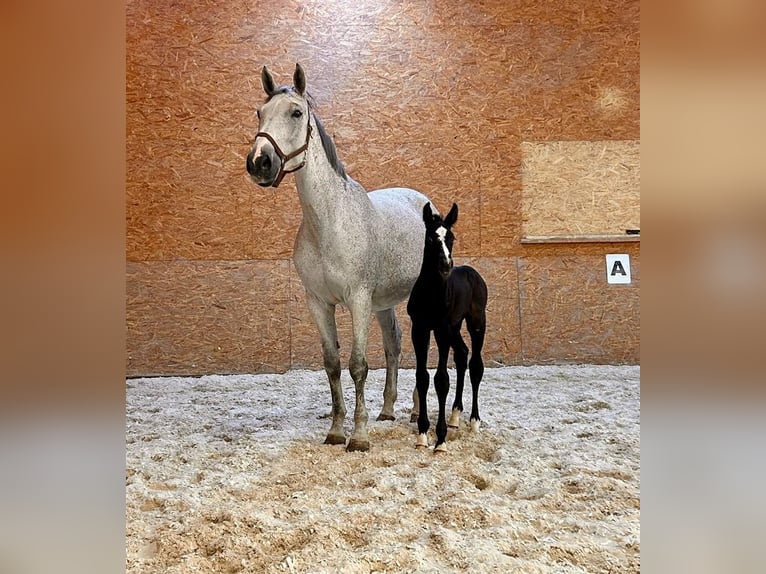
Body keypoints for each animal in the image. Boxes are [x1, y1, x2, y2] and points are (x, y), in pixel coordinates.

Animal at [249, 62, 436, 450]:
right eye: (260, 112)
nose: (259, 162)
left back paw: (417, 413)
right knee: (395, 344)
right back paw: (389, 410)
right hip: (384, 304)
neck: (329, 223)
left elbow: (358, 365)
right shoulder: (319, 302)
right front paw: (337, 431)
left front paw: (360, 437)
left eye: (296, 112)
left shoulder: (359, 301)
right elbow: (333, 364)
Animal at [404, 205, 488, 452]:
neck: (431, 294)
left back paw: (474, 421)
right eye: (431, 238)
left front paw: (440, 440)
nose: (445, 265)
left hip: (476, 322)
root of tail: (472, 272)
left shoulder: (441, 330)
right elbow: (422, 377)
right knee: (461, 354)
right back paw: (454, 417)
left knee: (476, 364)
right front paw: (422, 434)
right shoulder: (420, 329)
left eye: (451, 238)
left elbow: (441, 380)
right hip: (455, 327)